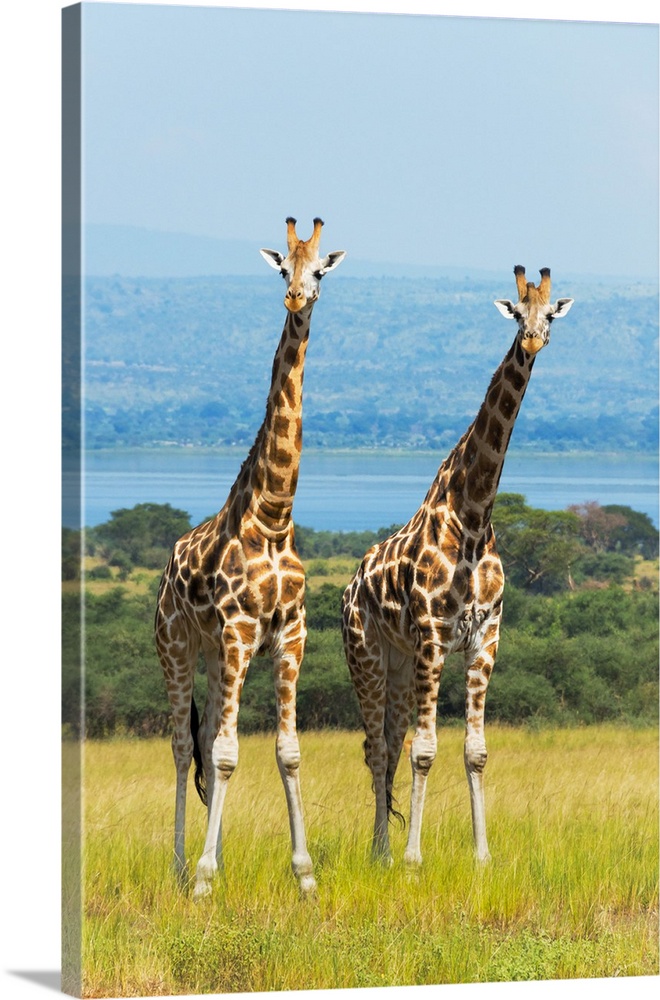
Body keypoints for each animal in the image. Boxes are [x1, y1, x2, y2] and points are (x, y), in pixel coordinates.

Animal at [155, 213, 348, 900]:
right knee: (184, 747)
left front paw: (306, 876)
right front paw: (206, 880)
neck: (273, 516)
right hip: (178, 646)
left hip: (217, 659)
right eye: (282, 267)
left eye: (319, 271)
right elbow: (226, 754)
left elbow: (284, 751)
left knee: (207, 737)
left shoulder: (289, 635)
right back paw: (181, 866)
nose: (295, 298)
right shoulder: (240, 631)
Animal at [340, 266, 572, 868]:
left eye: (550, 313)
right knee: (376, 748)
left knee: (388, 744)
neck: (472, 516)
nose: (533, 340)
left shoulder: (485, 636)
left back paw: (383, 848)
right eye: (516, 312)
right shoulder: (433, 635)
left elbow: (475, 751)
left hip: (400, 666)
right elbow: (425, 751)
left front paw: (482, 856)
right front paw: (414, 861)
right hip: (367, 655)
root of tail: (349, 587)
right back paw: (382, 854)